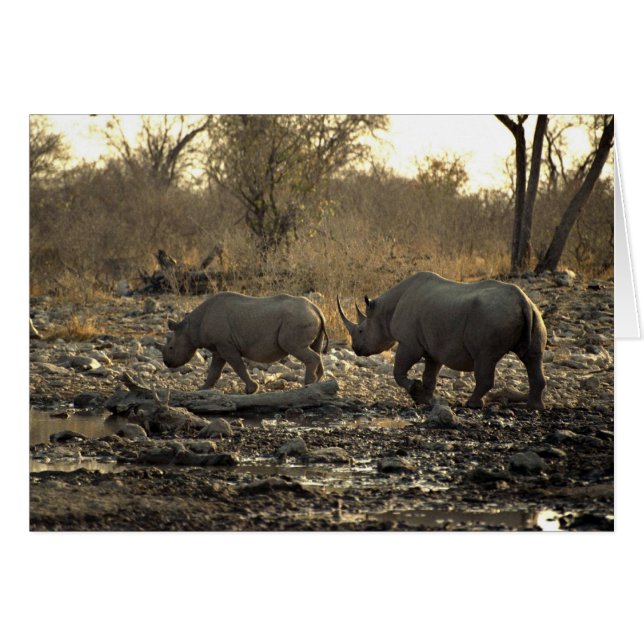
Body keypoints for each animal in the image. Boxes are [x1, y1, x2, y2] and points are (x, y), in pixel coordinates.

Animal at [159, 292, 328, 393]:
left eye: (171, 347)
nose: (167, 363)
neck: (190, 327)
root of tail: (316, 308)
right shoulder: (219, 348)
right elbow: (214, 371)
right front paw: (203, 389)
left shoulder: (225, 345)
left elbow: (238, 366)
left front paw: (251, 389)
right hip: (306, 317)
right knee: (316, 349)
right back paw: (317, 382)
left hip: (297, 320)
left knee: (296, 347)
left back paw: (307, 384)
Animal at [337, 271, 547, 409]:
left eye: (361, 331)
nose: (355, 349)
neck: (383, 312)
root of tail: (522, 300)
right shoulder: (432, 346)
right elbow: (430, 375)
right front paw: (426, 399)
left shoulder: (409, 343)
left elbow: (398, 372)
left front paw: (415, 390)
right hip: (534, 314)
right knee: (533, 357)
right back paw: (534, 407)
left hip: (492, 317)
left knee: (485, 358)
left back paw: (472, 405)